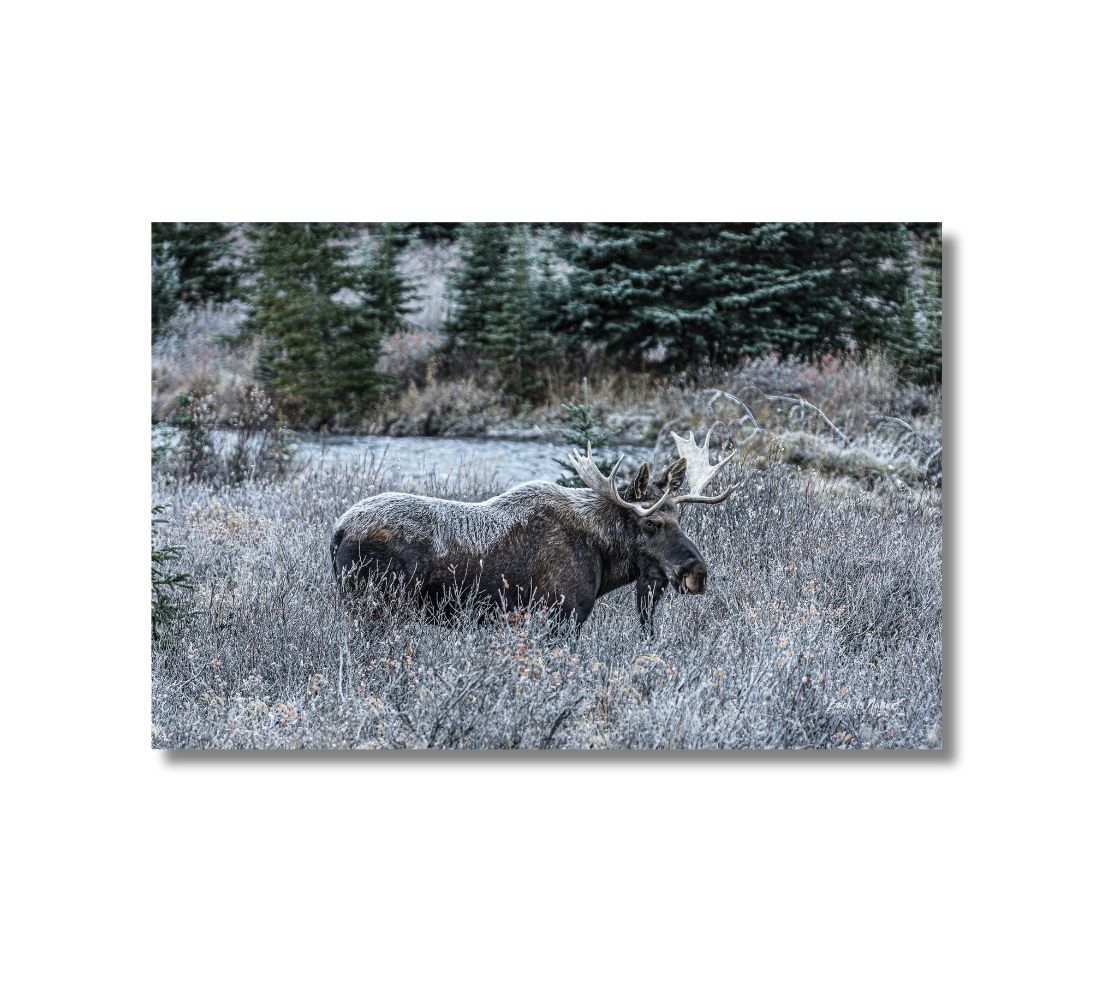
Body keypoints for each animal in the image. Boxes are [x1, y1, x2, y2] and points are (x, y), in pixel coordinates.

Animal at [327, 427, 739, 627]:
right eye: (651, 522)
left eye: (680, 519)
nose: (697, 571)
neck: (604, 557)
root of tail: (337, 532)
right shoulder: (563, 614)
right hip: (376, 603)